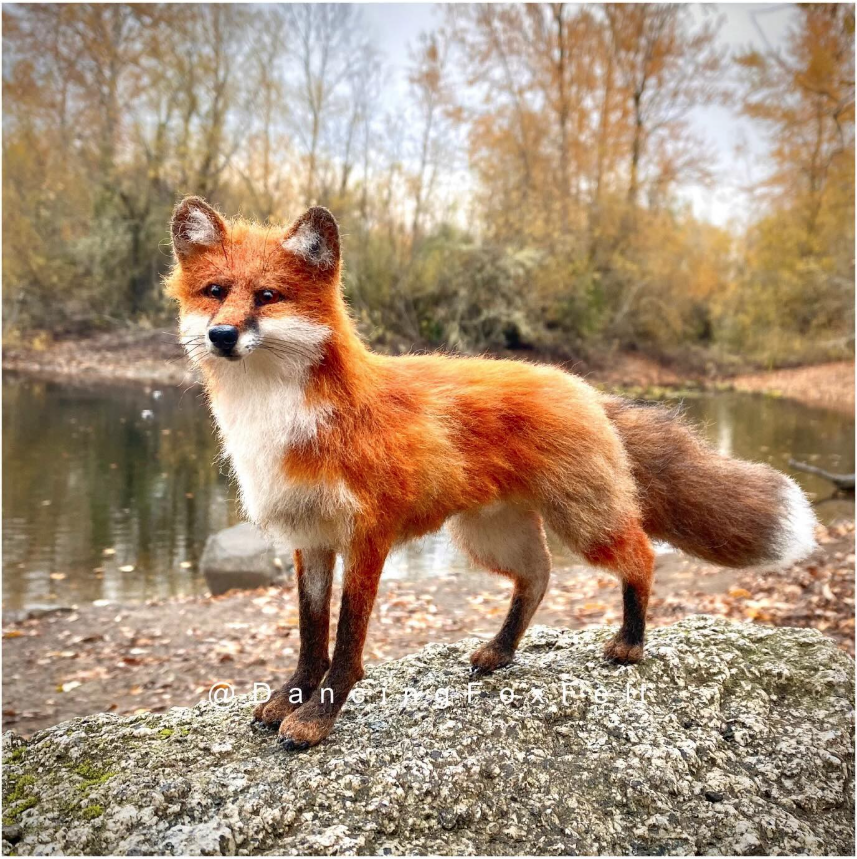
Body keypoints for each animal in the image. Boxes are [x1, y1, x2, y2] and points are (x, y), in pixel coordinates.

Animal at [166, 198, 816, 748]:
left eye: (267, 296)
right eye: (214, 292)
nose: (222, 335)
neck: (284, 420)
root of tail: (581, 385)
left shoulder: (367, 537)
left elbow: (347, 641)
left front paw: (318, 718)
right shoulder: (312, 539)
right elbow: (309, 634)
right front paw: (291, 698)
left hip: (584, 523)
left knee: (641, 557)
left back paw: (631, 641)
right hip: (490, 536)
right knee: (539, 577)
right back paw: (502, 650)